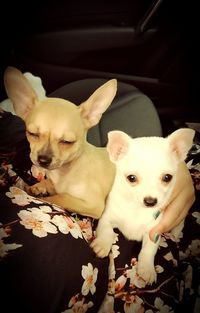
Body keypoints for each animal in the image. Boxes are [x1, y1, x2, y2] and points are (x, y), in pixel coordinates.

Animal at [3, 66, 116, 217]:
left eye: (67, 141)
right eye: (32, 134)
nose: (43, 160)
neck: (65, 172)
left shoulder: (93, 205)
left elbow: (61, 197)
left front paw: (43, 196)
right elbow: (49, 183)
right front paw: (38, 187)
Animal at [91, 128, 195, 284]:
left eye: (167, 177)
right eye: (131, 178)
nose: (150, 201)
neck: (136, 209)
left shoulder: (154, 232)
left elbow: (148, 250)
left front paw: (147, 269)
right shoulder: (107, 218)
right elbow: (106, 230)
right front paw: (102, 244)